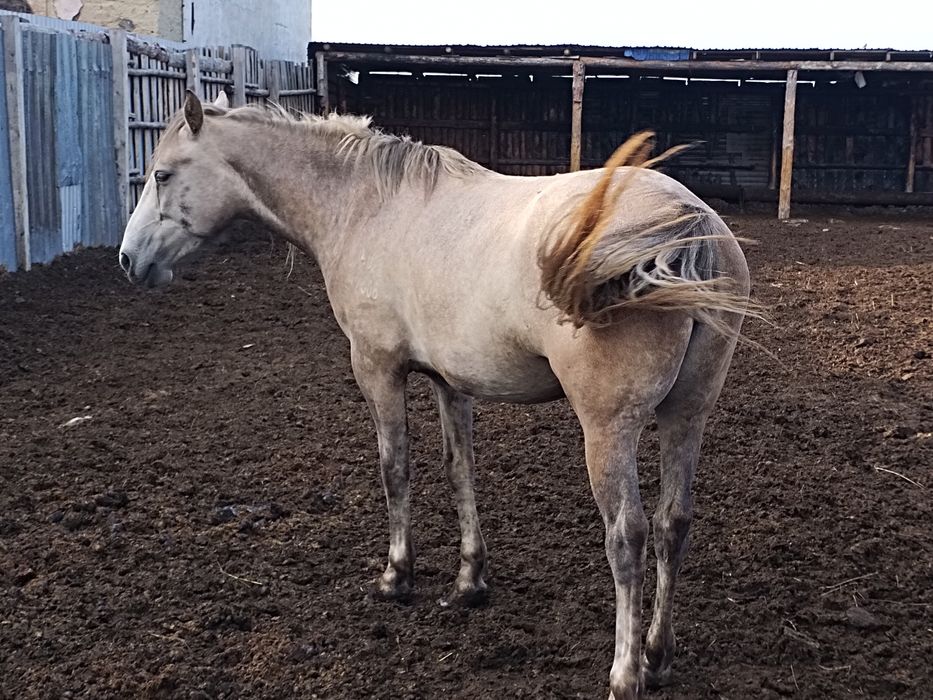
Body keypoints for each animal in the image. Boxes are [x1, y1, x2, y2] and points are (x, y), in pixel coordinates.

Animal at [118, 90, 750, 699]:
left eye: (163, 174)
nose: (128, 259)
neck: (365, 206)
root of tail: (685, 222)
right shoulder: (451, 382)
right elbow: (459, 469)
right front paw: (469, 580)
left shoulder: (377, 368)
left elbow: (394, 468)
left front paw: (397, 576)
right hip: (686, 415)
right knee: (672, 523)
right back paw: (657, 656)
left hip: (608, 429)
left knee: (628, 535)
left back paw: (625, 674)